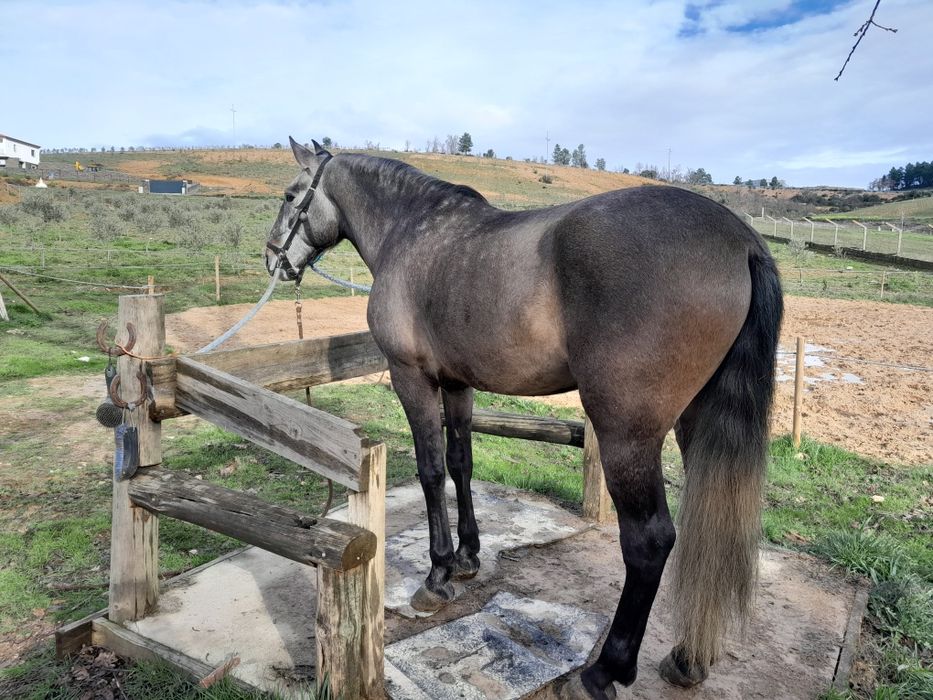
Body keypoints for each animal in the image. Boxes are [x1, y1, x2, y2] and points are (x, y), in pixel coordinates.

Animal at [265, 137, 782, 698]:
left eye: (291, 194)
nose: (273, 258)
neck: (412, 231)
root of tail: (742, 240)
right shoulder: (457, 384)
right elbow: (460, 463)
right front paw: (468, 556)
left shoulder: (412, 378)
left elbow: (430, 472)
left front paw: (437, 576)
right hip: (696, 423)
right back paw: (688, 658)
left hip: (627, 434)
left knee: (649, 542)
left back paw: (603, 671)